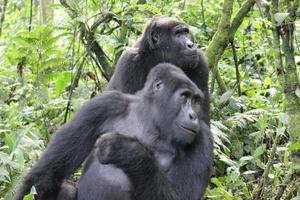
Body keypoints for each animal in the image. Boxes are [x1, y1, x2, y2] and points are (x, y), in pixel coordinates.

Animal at [15, 63, 212, 200]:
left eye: (196, 100)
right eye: (185, 97)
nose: (194, 116)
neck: (150, 122)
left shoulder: (203, 138)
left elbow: (182, 196)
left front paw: (129, 152)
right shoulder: (105, 104)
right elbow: (47, 173)